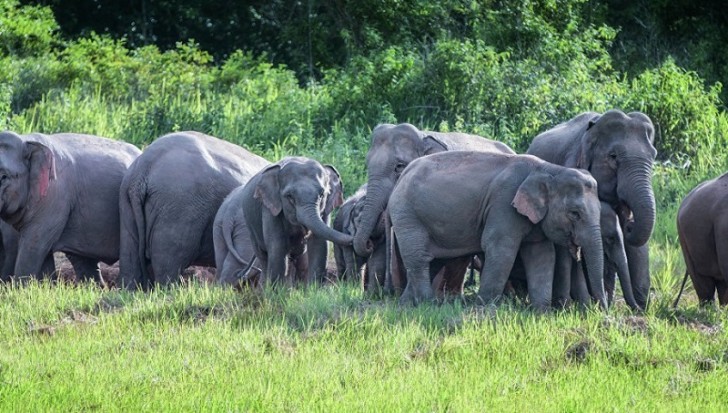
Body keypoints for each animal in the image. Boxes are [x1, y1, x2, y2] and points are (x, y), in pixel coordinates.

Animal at [390, 150, 604, 308]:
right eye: (575, 213)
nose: (600, 310)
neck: (549, 168)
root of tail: (403, 174)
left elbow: (542, 255)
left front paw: (541, 312)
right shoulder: (503, 204)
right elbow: (500, 247)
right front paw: (484, 306)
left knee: (434, 261)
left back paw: (406, 305)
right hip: (407, 215)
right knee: (420, 257)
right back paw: (426, 303)